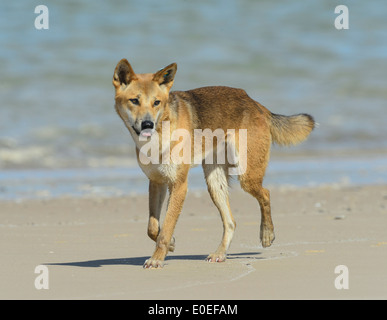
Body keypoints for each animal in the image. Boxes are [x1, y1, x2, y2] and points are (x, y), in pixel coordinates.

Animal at [112, 59, 316, 268]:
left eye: (156, 102)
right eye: (134, 101)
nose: (148, 125)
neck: (160, 133)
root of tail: (254, 103)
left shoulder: (179, 185)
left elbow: (166, 227)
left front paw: (157, 258)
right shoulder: (157, 182)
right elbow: (153, 228)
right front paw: (171, 244)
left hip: (246, 176)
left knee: (265, 194)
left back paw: (267, 234)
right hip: (215, 183)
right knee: (231, 222)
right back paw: (220, 253)